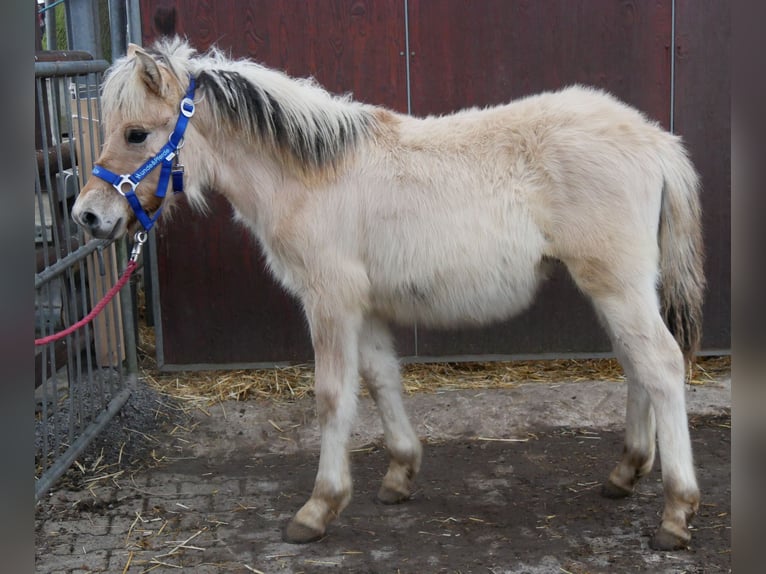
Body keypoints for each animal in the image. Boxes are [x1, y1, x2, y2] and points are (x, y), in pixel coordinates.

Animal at [72, 38, 708, 552]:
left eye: (136, 133)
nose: (88, 216)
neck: (312, 176)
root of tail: (655, 139)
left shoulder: (329, 301)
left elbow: (333, 396)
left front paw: (318, 508)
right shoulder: (366, 306)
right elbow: (382, 380)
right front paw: (400, 474)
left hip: (616, 283)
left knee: (661, 363)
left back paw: (676, 511)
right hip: (619, 287)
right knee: (636, 363)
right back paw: (625, 473)